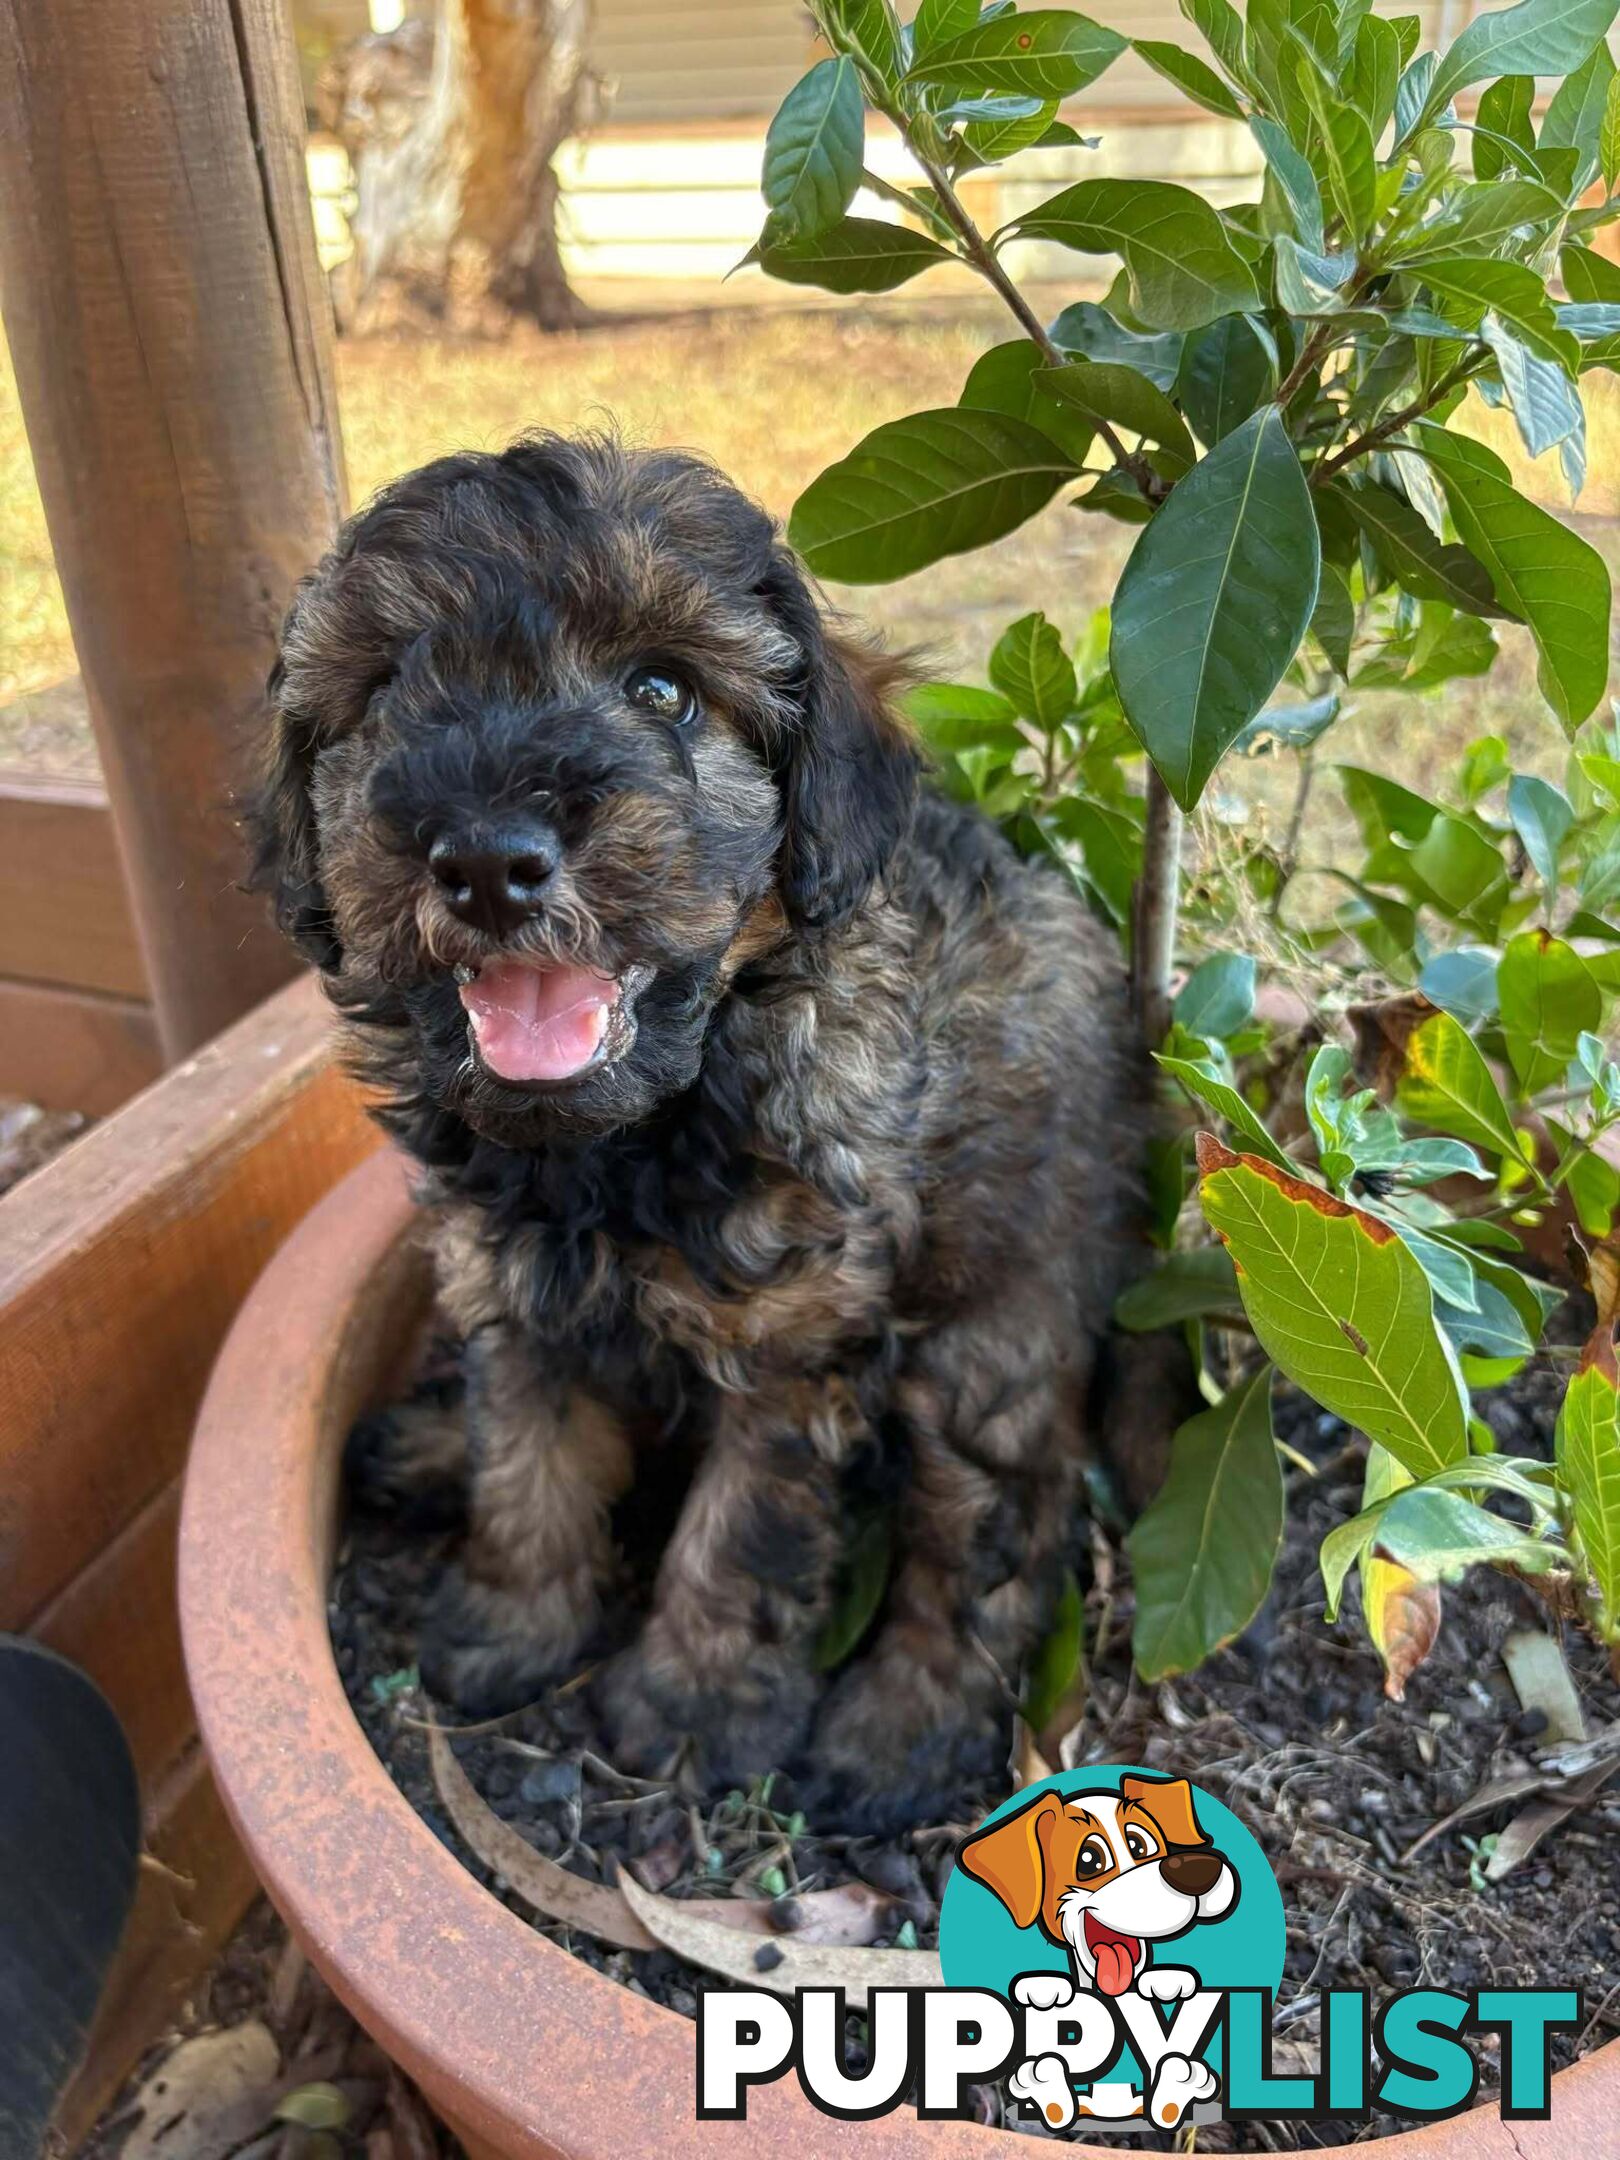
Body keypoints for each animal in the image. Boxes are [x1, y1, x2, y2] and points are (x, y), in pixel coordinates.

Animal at [253, 429, 1157, 1831]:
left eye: (664, 691)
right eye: (392, 687)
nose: (488, 860)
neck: (621, 1144)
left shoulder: (790, 1337)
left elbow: (744, 1531)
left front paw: (693, 1707)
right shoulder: (510, 1280)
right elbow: (527, 1455)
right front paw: (509, 1620)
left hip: (989, 1333)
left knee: (997, 1529)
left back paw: (900, 1732)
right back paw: (425, 1448)